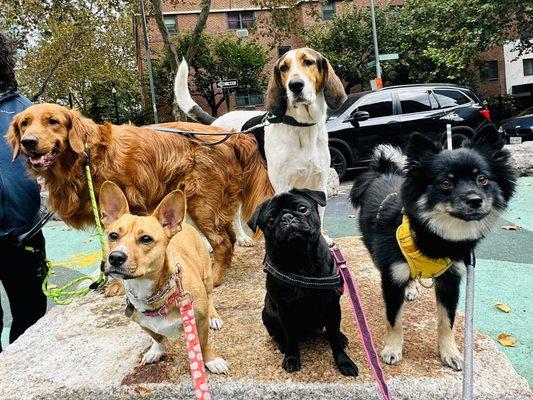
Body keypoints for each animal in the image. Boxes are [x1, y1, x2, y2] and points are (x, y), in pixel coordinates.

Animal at [4, 103, 270, 284]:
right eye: (25, 123)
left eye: (53, 121)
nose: (28, 142)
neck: (86, 156)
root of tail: (232, 136)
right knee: (227, 237)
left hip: (201, 201)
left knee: (223, 241)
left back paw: (213, 278)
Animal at [98, 180, 228, 372]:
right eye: (113, 235)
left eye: (146, 239)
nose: (115, 257)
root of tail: (184, 225)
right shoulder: (142, 323)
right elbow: (158, 337)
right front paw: (156, 350)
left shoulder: (199, 321)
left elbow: (203, 344)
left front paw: (211, 360)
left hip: (207, 277)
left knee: (210, 296)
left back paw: (214, 317)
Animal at [246, 189, 358, 376]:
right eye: (270, 220)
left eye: (302, 208)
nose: (287, 217)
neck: (301, 259)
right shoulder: (286, 311)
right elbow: (291, 338)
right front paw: (292, 358)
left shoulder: (332, 306)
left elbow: (334, 338)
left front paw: (343, 361)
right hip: (268, 314)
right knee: (279, 335)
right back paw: (282, 345)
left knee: (330, 330)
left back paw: (341, 337)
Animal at [350, 131, 516, 372]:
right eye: (446, 183)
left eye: (482, 179)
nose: (475, 200)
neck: (435, 237)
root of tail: (382, 170)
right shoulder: (392, 278)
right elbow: (394, 318)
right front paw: (392, 349)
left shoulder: (450, 280)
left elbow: (447, 321)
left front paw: (450, 353)